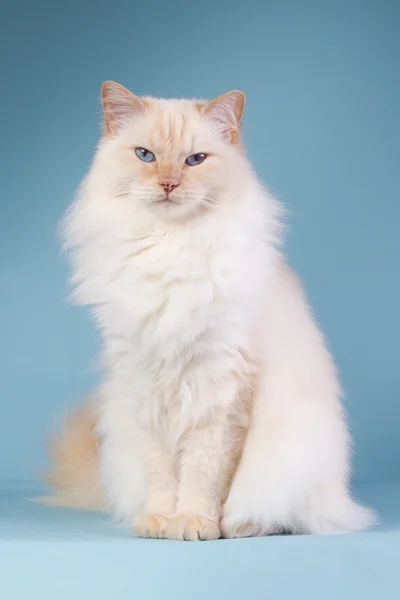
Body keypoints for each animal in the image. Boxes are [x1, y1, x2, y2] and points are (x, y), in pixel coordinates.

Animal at [42, 81, 376, 540]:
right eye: (145, 155)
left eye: (194, 160)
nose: (167, 183)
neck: (169, 247)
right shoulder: (146, 387)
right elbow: (163, 474)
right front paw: (159, 521)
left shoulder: (220, 391)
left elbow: (204, 474)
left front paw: (195, 523)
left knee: (282, 513)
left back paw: (244, 526)